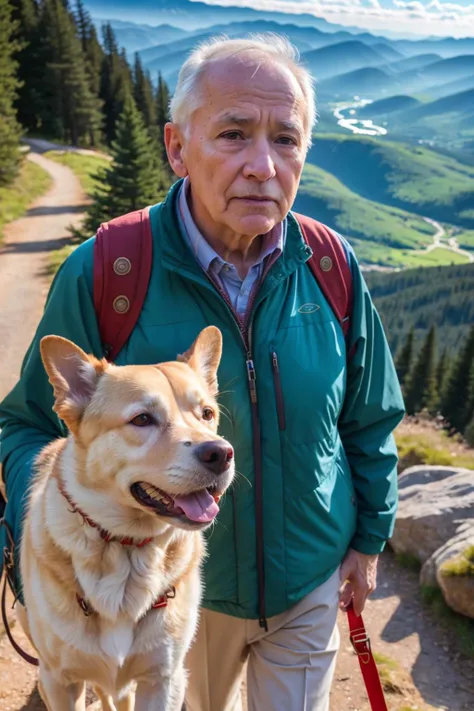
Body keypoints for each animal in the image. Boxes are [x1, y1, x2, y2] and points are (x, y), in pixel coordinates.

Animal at [19, 326, 234, 711]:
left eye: (207, 413)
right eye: (142, 419)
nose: (222, 454)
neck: (126, 548)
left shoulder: (164, 678)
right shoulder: (58, 682)